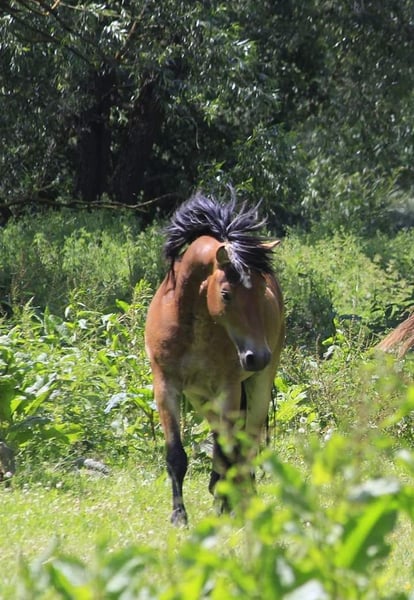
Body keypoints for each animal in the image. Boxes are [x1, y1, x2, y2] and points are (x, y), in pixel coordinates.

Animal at [145, 192, 285, 525]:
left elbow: (226, 451)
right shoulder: (166, 386)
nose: (256, 356)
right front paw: (179, 515)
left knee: (246, 444)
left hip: (258, 387)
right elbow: (176, 454)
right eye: (226, 294)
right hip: (200, 396)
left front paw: (225, 505)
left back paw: (243, 496)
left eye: (262, 290)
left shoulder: (228, 388)